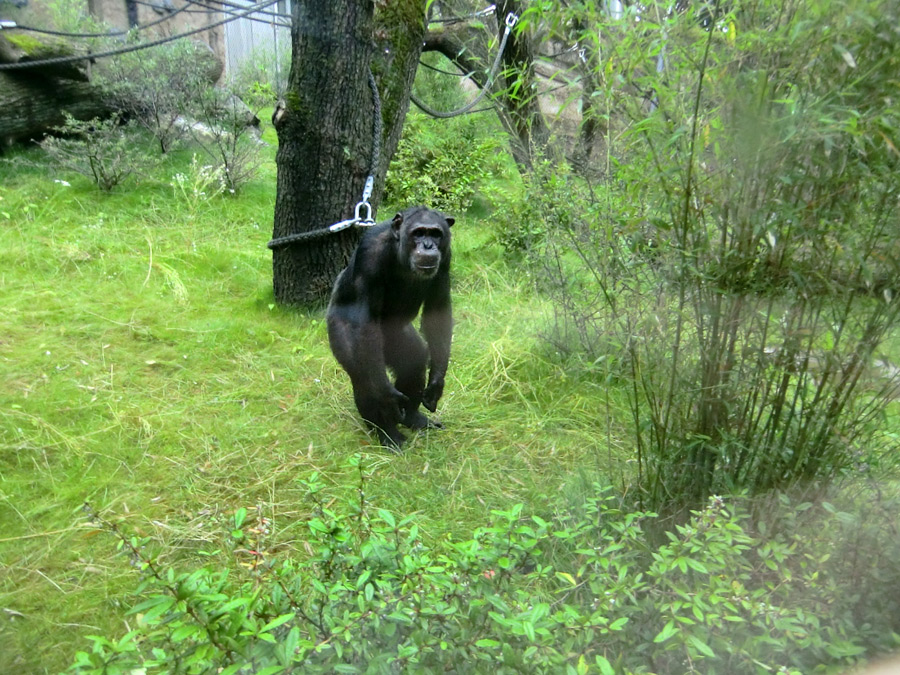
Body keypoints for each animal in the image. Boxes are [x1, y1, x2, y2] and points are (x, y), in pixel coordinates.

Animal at [326, 206, 454, 448]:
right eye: (418, 233)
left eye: (435, 234)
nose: (428, 245)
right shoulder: (370, 253)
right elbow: (365, 318)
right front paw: (388, 397)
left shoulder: (447, 256)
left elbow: (437, 310)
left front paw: (436, 383)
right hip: (341, 331)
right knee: (363, 376)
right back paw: (387, 433)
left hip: (396, 336)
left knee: (413, 361)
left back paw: (413, 418)